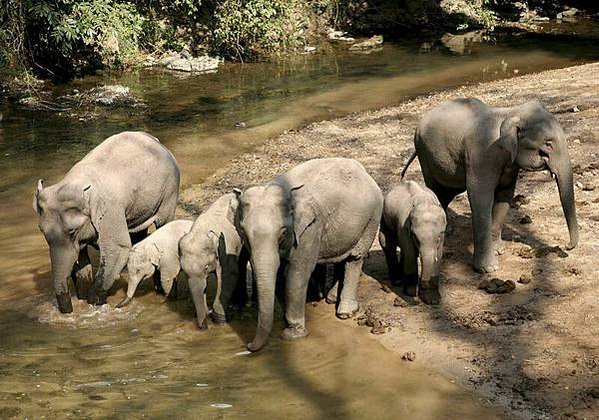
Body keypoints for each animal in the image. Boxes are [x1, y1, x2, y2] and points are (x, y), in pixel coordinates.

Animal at [34, 130, 179, 312]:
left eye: (72, 231)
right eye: (41, 231)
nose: (68, 312)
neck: (75, 182)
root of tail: (158, 142)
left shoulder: (110, 211)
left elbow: (118, 248)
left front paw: (95, 303)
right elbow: (81, 260)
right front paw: (83, 299)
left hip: (169, 192)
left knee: (162, 224)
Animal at [178, 193, 248, 328]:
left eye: (206, 268)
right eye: (183, 271)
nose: (204, 327)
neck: (201, 231)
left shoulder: (226, 248)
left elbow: (229, 275)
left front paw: (219, 320)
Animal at [234, 158, 384, 352]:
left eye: (283, 232)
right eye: (243, 232)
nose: (248, 346)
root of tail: (364, 172)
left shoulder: (310, 228)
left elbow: (297, 273)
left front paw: (293, 334)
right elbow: (281, 273)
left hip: (372, 218)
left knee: (355, 258)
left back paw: (345, 313)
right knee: (342, 257)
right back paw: (331, 299)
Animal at [400, 100, 580, 274]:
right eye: (548, 144)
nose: (566, 246)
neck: (508, 113)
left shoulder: (509, 163)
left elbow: (504, 196)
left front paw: (498, 250)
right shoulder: (481, 156)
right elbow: (480, 197)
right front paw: (487, 269)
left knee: (447, 191)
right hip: (424, 154)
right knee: (436, 189)